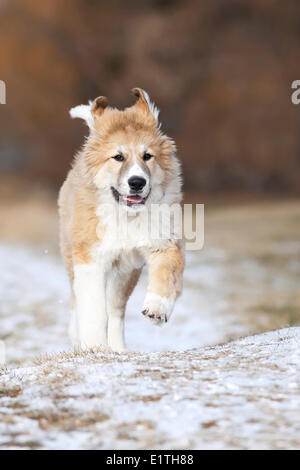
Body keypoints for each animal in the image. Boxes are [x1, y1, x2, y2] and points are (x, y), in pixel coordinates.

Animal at [58, 89, 184, 352]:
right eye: (118, 157)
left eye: (147, 156)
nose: (137, 182)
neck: (126, 216)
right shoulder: (90, 258)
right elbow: (93, 309)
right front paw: (94, 346)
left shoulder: (163, 242)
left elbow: (166, 273)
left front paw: (156, 309)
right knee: (79, 302)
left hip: (125, 273)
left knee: (115, 311)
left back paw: (118, 349)